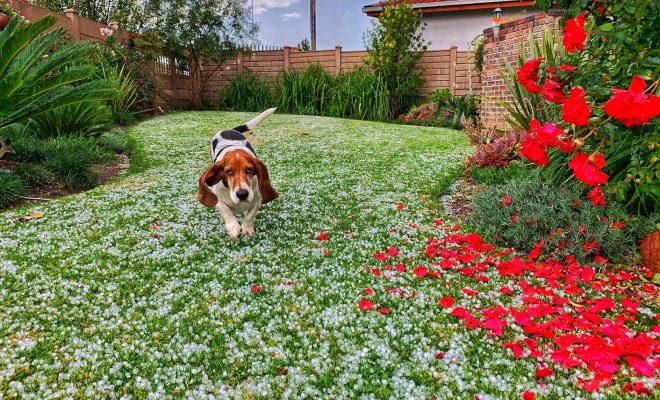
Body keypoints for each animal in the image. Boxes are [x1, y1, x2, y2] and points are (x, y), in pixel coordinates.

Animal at [196, 108, 278, 239]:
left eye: (249, 169)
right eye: (228, 172)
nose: (242, 194)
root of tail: (229, 130)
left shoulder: (257, 200)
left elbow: (250, 215)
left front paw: (247, 229)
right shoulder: (217, 200)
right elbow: (225, 210)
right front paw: (233, 227)